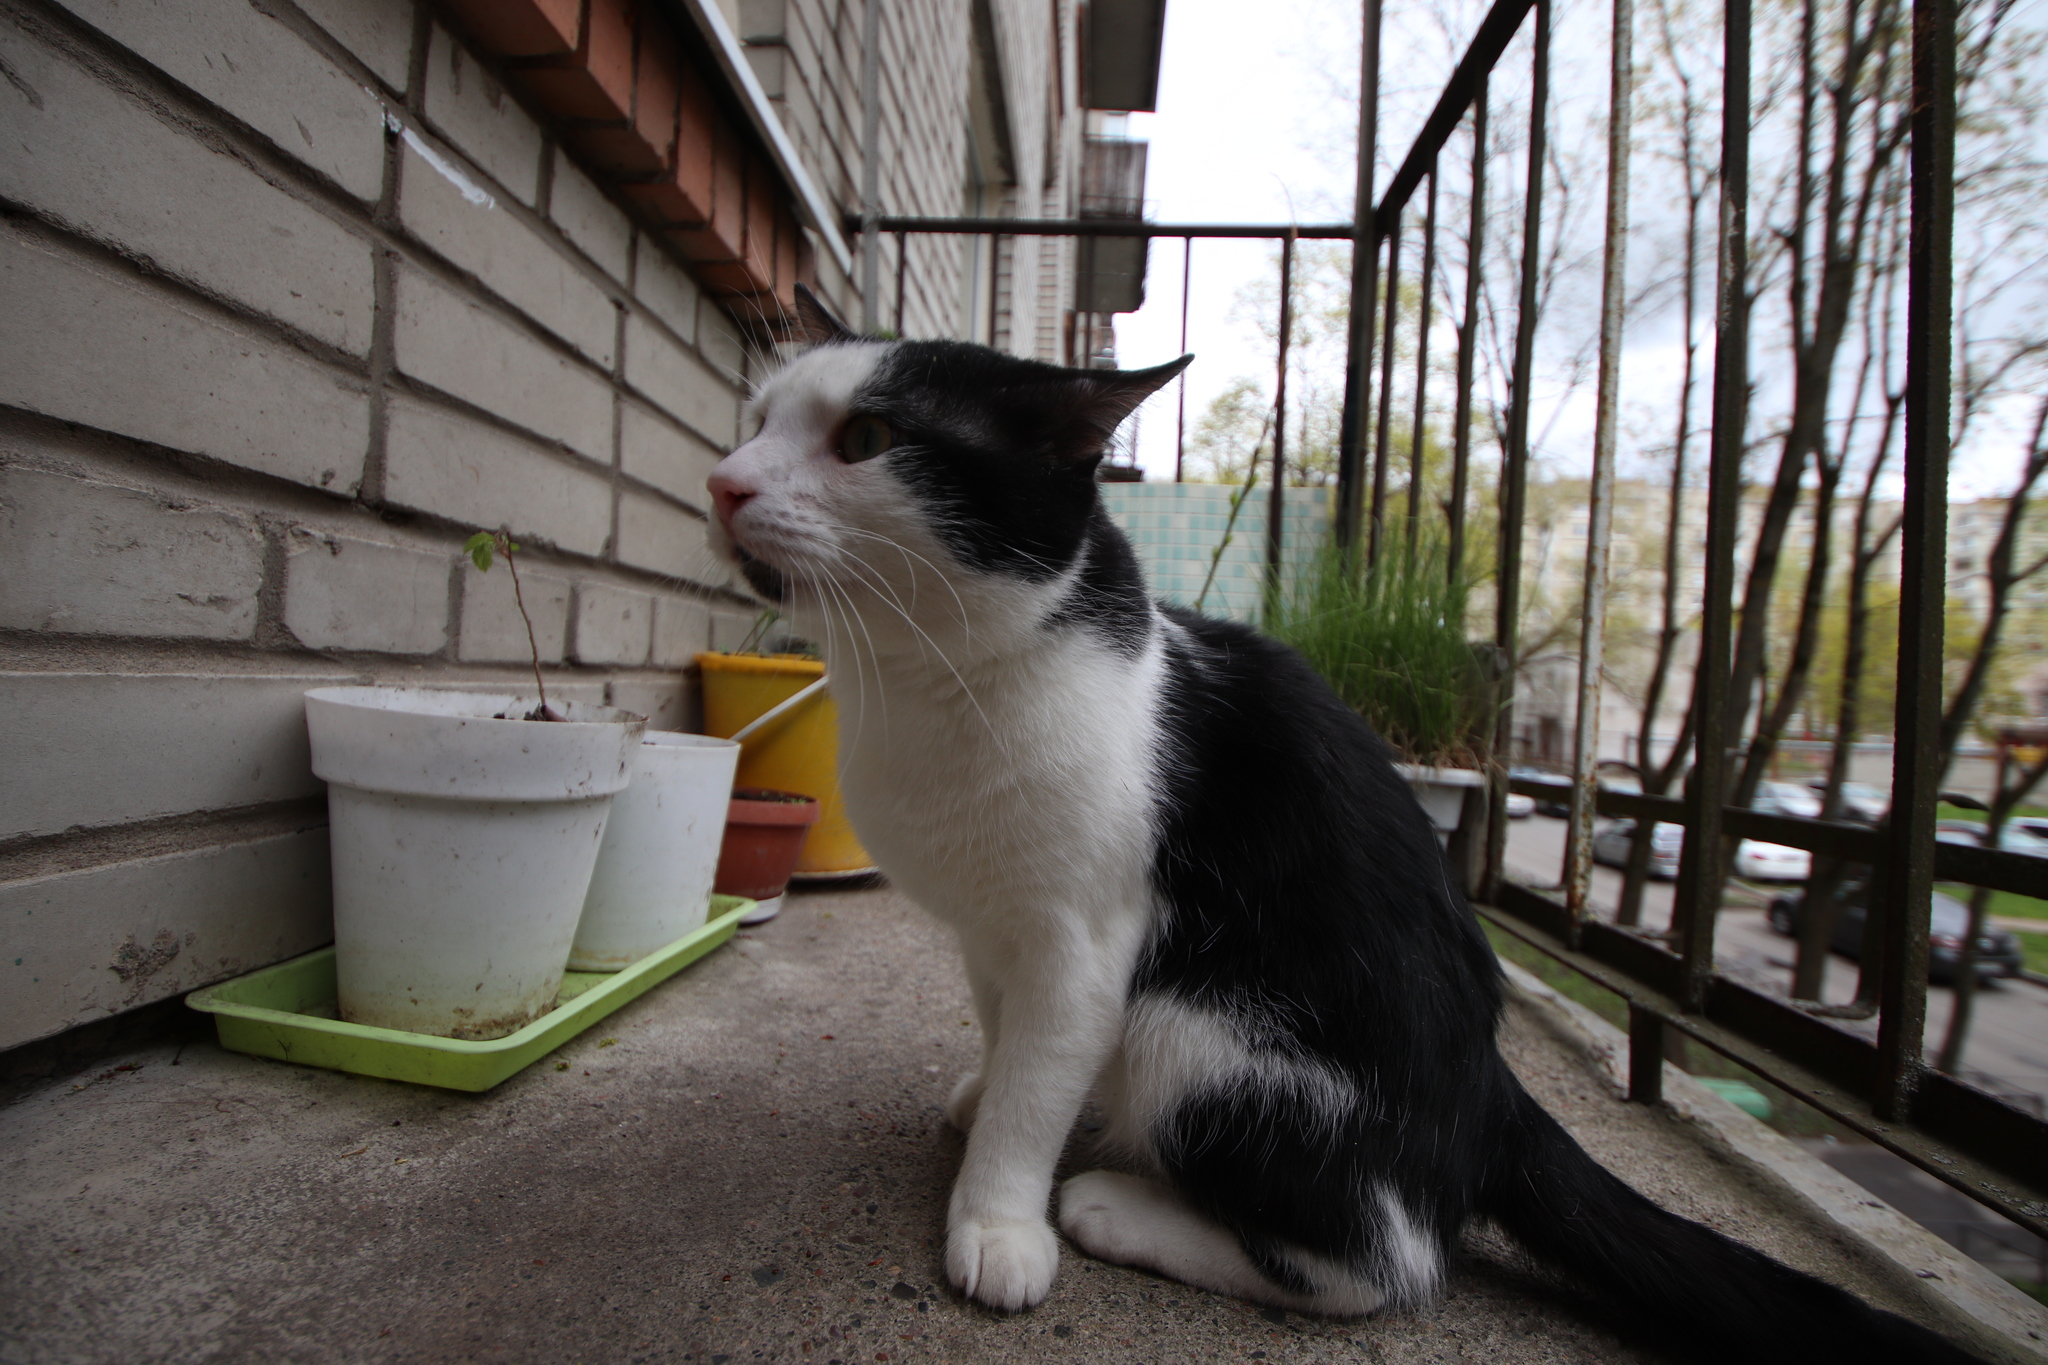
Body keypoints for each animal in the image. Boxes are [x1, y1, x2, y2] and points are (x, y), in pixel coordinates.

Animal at [708, 282, 1982, 1358]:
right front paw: (985, 1095)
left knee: (1389, 1265)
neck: (929, 683)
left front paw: (998, 1217)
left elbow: (1040, 1078)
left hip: (1195, 1030)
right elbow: (1004, 1037)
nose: (724, 481)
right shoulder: (993, 927)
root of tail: (1488, 1092)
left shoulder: (1085, 940)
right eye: (758, 417)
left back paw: (1121, 1210)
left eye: (867, 439)